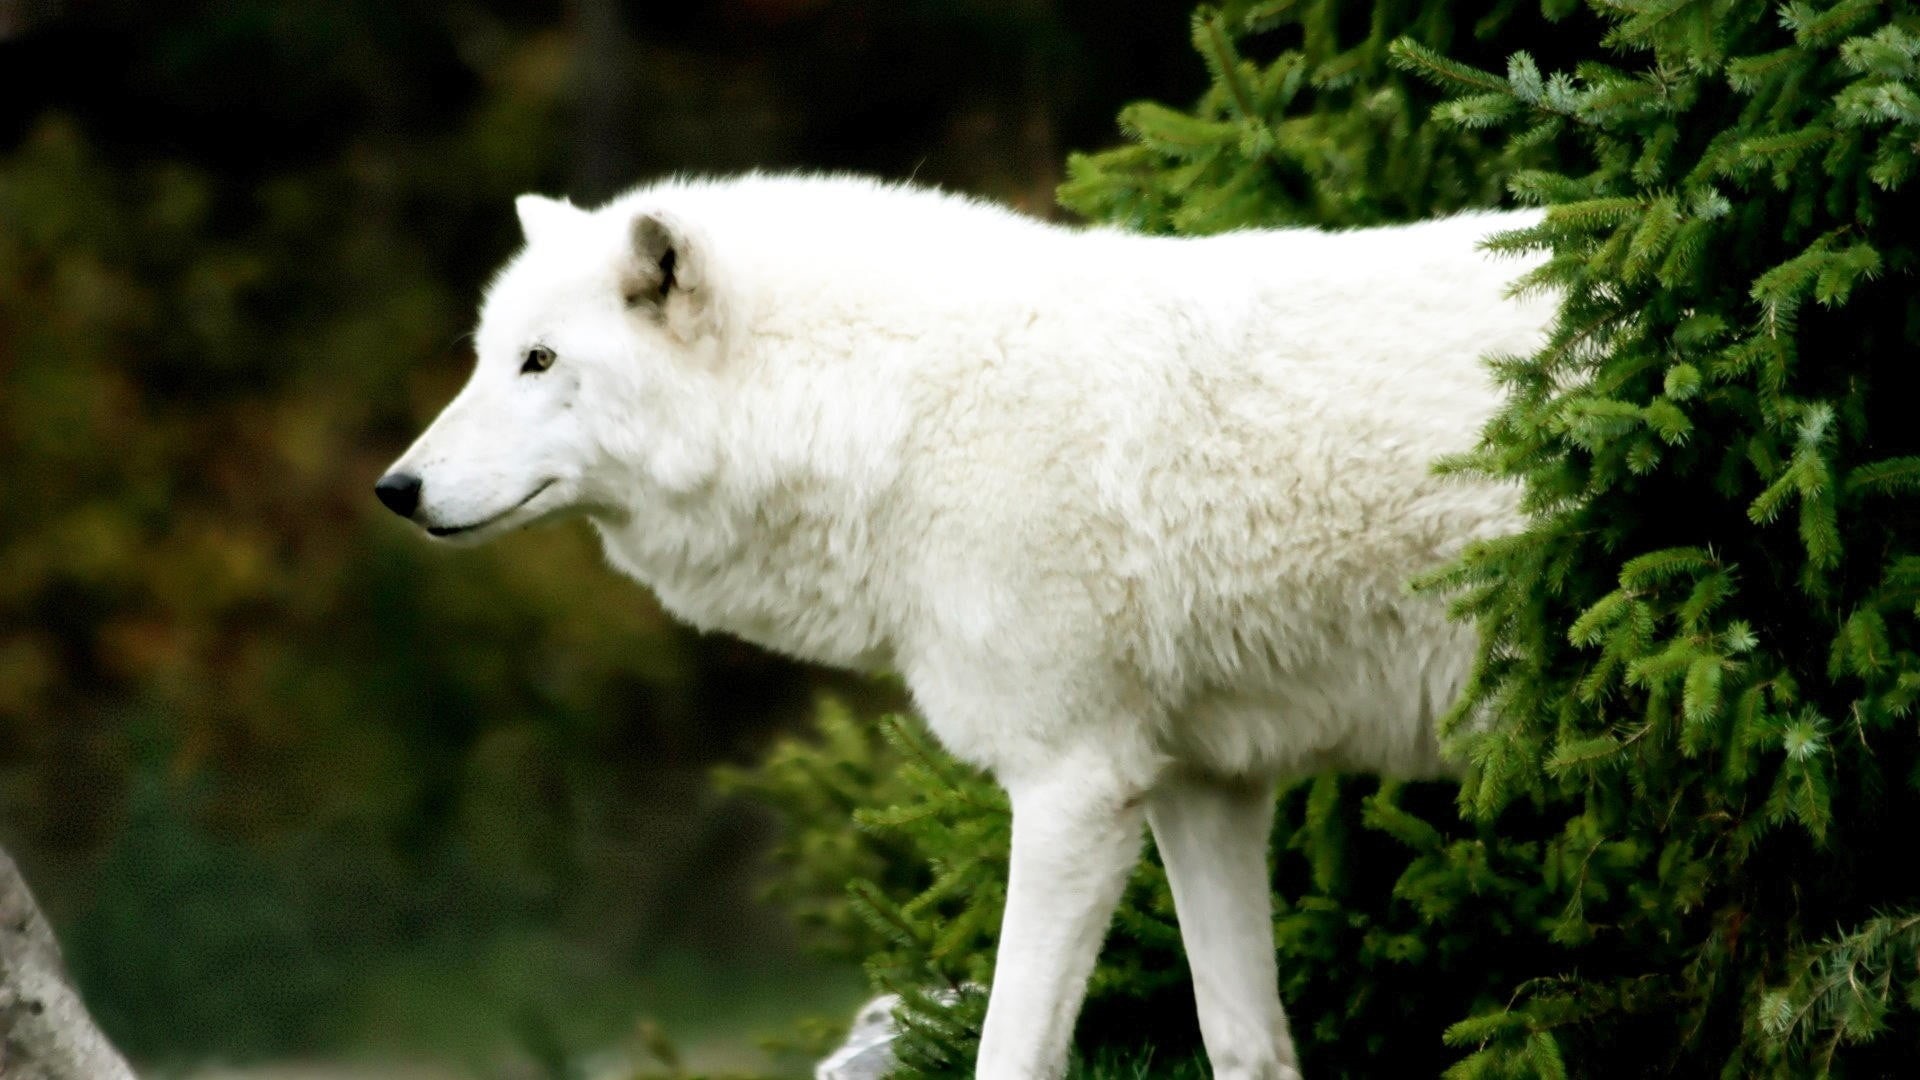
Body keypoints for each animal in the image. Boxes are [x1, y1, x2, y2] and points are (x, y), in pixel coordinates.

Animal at [375, 174, 1553, 1079]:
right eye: (485, 356)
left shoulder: (1073, 786)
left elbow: (1010, 1052)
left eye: (539, 362)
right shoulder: (1201, 784)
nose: (395, 488)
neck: (899, 414)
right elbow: (1241, 1041)